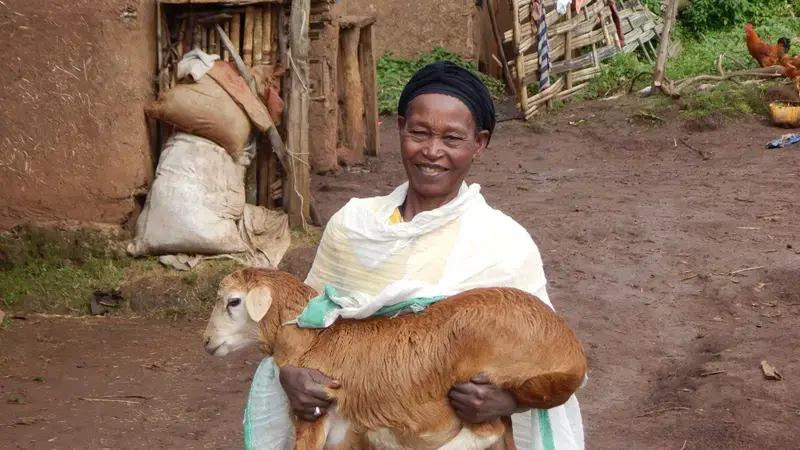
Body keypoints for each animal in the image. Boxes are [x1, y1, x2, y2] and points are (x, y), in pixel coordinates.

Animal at [203, 267, 587, 450]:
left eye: (234, 302)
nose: (206, 341)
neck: (317, 335)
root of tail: (571, 352)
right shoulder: (343, 434)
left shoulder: (313, 418)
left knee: (486, 430)